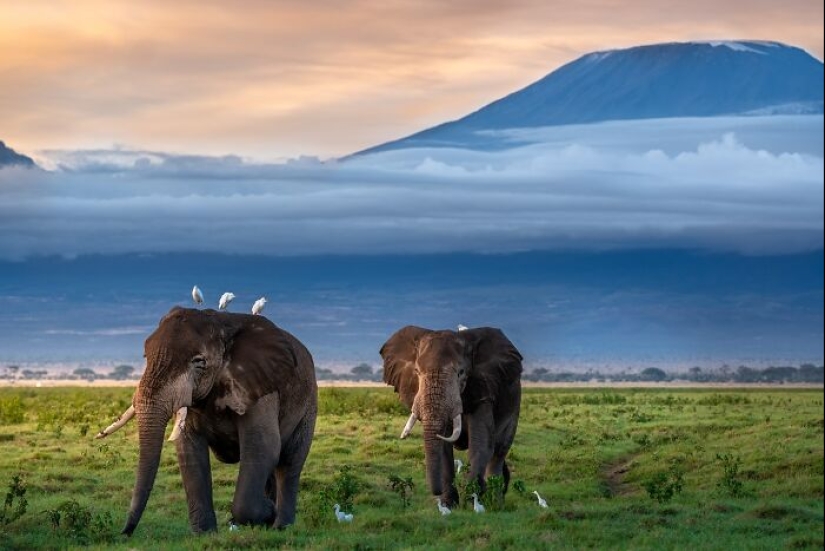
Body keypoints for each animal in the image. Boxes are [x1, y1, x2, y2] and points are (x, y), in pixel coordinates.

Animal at [95, 306, 318, 536]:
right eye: (145, 356)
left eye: (199, 362)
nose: (125, 533)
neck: (222, 324)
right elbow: (189, 451)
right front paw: (205, 534)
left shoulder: (261, 385)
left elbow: (263, 446)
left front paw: (265, 514)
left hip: (309, 403)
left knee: (289, 462)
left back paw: (281, 526)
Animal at [380, 324, 520, 508]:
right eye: (417, 372)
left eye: (461, 372)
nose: (436, 493)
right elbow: (444, 449)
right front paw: (448, 505)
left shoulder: (483, 388)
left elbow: (481, 443)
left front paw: (473, 500)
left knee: (499, 451)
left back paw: (496, 503)